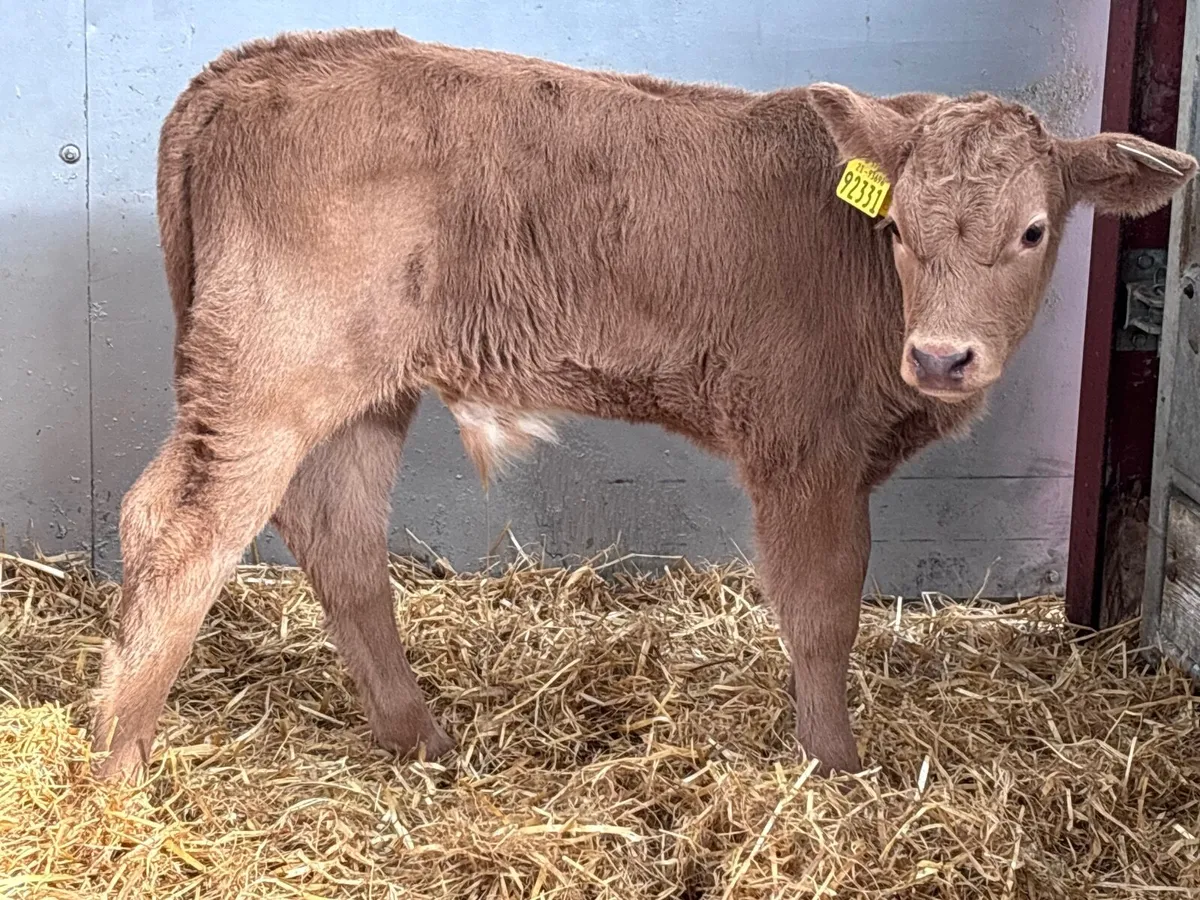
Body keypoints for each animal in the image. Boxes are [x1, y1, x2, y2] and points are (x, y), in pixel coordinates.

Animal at [90, 28, 1197, 780]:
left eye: (1033, 230)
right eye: (899, 233)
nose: (942, 354)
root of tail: (256, 64)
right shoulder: (803, 447)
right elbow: (823, 608)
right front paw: (834, 766)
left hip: (362, 389)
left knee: (338, 532)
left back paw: (418, 736)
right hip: (263, 375)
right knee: (178, 528)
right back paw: (118, 764)